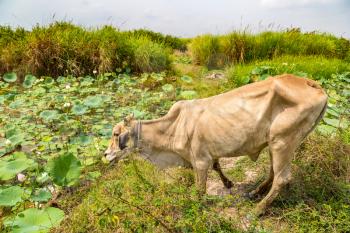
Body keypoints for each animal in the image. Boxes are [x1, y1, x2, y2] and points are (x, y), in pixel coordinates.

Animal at [104, 74, 328, 215]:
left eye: (116, 134)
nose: (105, 155)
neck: (174, 127)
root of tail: (313, 84)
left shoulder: (200, 161)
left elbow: (200, 190)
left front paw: (197, 208)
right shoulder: (206, 155)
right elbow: (217, 165)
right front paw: (228, 184)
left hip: (282, 141)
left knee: (282, 178)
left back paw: (257, 211)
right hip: (276, 143)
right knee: (273, 172)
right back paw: (254, 193)